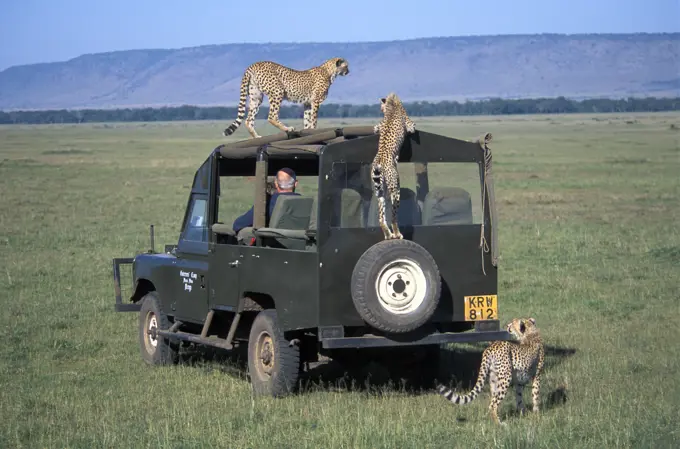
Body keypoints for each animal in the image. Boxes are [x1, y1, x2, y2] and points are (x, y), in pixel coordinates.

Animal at [370, 93, 418, 240]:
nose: (380, 109)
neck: (391, 101)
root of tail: (379, 160)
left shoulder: (378, 126)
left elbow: (376, 128)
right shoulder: (410, 126)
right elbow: (413, 127)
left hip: (380, 189)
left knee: (381, 217)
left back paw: (388, 235)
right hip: (395, 188)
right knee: (393, 216)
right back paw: (397, 234)